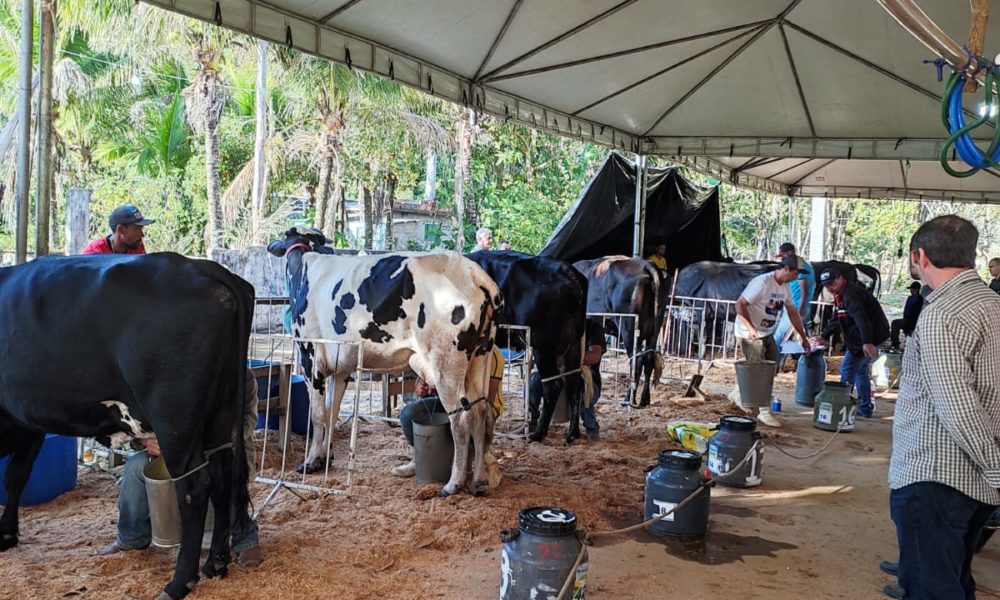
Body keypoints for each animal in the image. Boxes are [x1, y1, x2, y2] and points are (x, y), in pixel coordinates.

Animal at [0, 253, 254, 600]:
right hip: (220, 416)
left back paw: (178, 583)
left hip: (175, 419)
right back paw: (215, 563)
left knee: (194, 488)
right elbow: (16, 477)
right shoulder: (27, 424)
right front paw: (8, 535)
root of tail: (202, 267)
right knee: (222, 479)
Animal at [268, 227, 504, 494]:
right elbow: (331, 412)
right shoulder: (341, 368)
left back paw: (453, 483)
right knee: (482, 412)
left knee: (461, 419)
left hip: (446, 364)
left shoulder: (310, 356)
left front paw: (310, 462)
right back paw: (478, 481)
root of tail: (474, 273)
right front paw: (325, 458)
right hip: (480, 356)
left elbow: (317, 415)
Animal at [464, 250, 588, 446]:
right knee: (575, 384)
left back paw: (538, 433)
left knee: (553, 385)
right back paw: (572, 433)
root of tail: (569, 271)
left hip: (543, 346)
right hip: (575, 344)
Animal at [576, 255, 668, 406]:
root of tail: (646, 264)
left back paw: (628, 399)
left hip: (628, 327)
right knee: (648, 360)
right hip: (654, 330)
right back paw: (644, 399)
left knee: (637, 361)